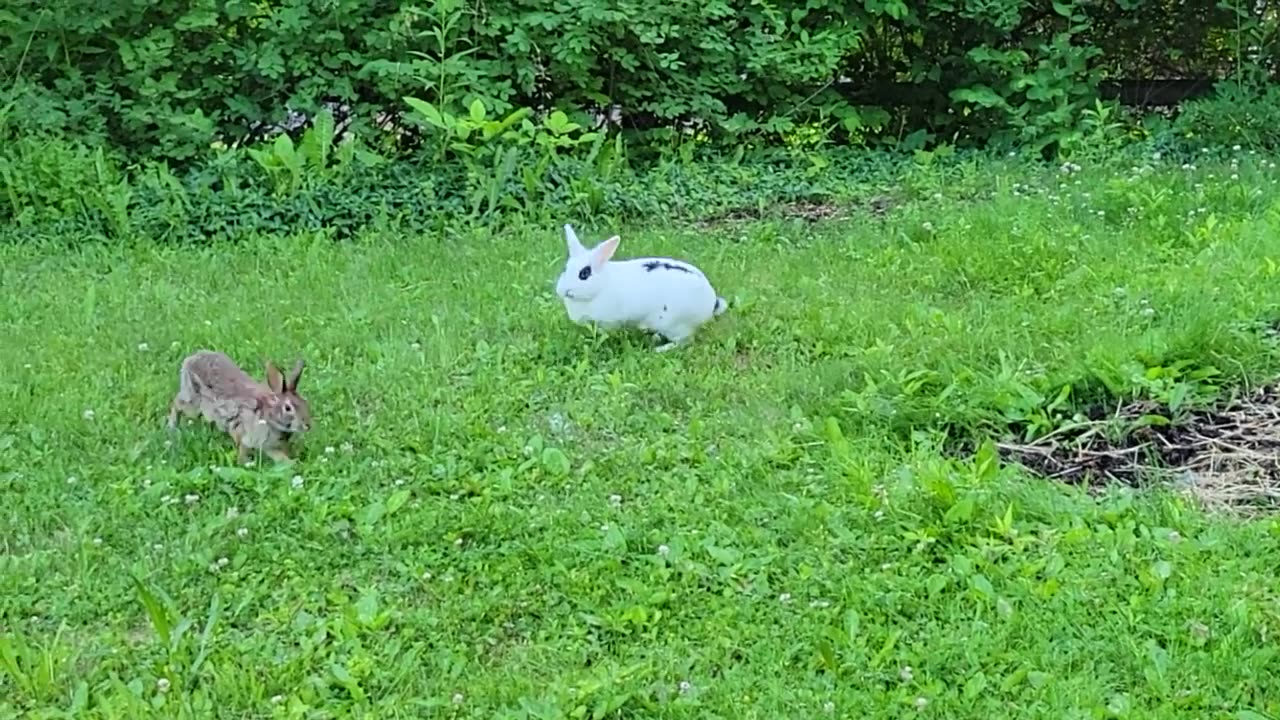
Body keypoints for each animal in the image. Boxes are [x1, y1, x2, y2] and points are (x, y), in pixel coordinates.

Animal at [167, 348, 312, 461]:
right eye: (288, 408)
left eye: (305, 403)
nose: (308, 425)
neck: (269, 417)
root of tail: (191, 359)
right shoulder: (242, 433)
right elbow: (242, 449)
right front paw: (243, 463)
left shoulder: (269, 446)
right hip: (194, 402)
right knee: (177, 403)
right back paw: (172, 426)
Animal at [552, 221, 727, 351]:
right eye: (566, 268)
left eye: (584, 274)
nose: (562, 291)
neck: (600, 286)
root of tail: (712, 302)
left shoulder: (609, 322)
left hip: (676, 325)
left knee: (684, 341)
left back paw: (660, 348)